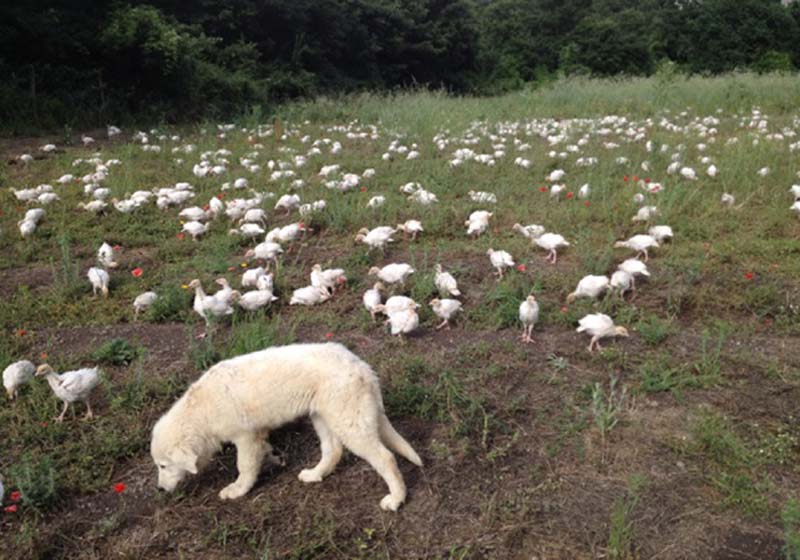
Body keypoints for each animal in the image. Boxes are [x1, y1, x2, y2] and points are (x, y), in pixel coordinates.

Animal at [152, 342, 424, 512]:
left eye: (163, 466)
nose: (160, 489)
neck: (200, 411)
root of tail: (362, 366)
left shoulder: (245, 437)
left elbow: (245, 467)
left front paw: (237, 490)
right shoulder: (257, 434)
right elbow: (264, 451)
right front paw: (274, 458)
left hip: (350, 424)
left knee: (386, 458)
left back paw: (396, 499)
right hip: (323, 417)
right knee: (333, 450)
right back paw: (315, 474)